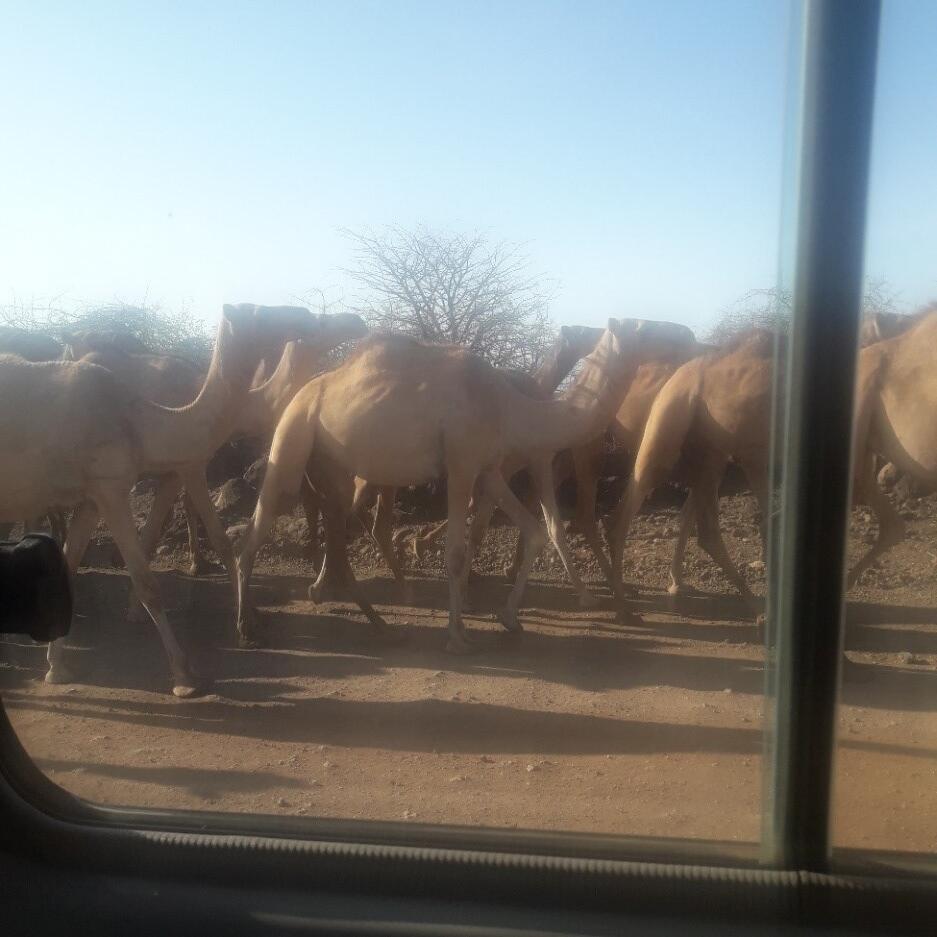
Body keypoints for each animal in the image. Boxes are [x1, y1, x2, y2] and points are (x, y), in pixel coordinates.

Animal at [0, 304, 330, 692]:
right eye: (261, 312)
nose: (309, 316)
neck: (142, 421)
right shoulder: (113, 487)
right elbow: (148, 582)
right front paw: (185, 675)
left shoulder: (92, 498)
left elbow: (68, 567)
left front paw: (56, 668)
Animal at [234, 314, 696, 652]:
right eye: (644, 326)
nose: (687, 334)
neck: (511, 405)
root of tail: (302, 392)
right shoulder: (460, 463)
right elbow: (456, 552)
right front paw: (458, 634)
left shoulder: (488, 468)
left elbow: (534, 530)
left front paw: (510, 618)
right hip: (294, 434)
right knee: (262, 522)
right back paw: (247, 624)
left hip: (332, 462)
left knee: (336, 522)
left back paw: (362, 614)